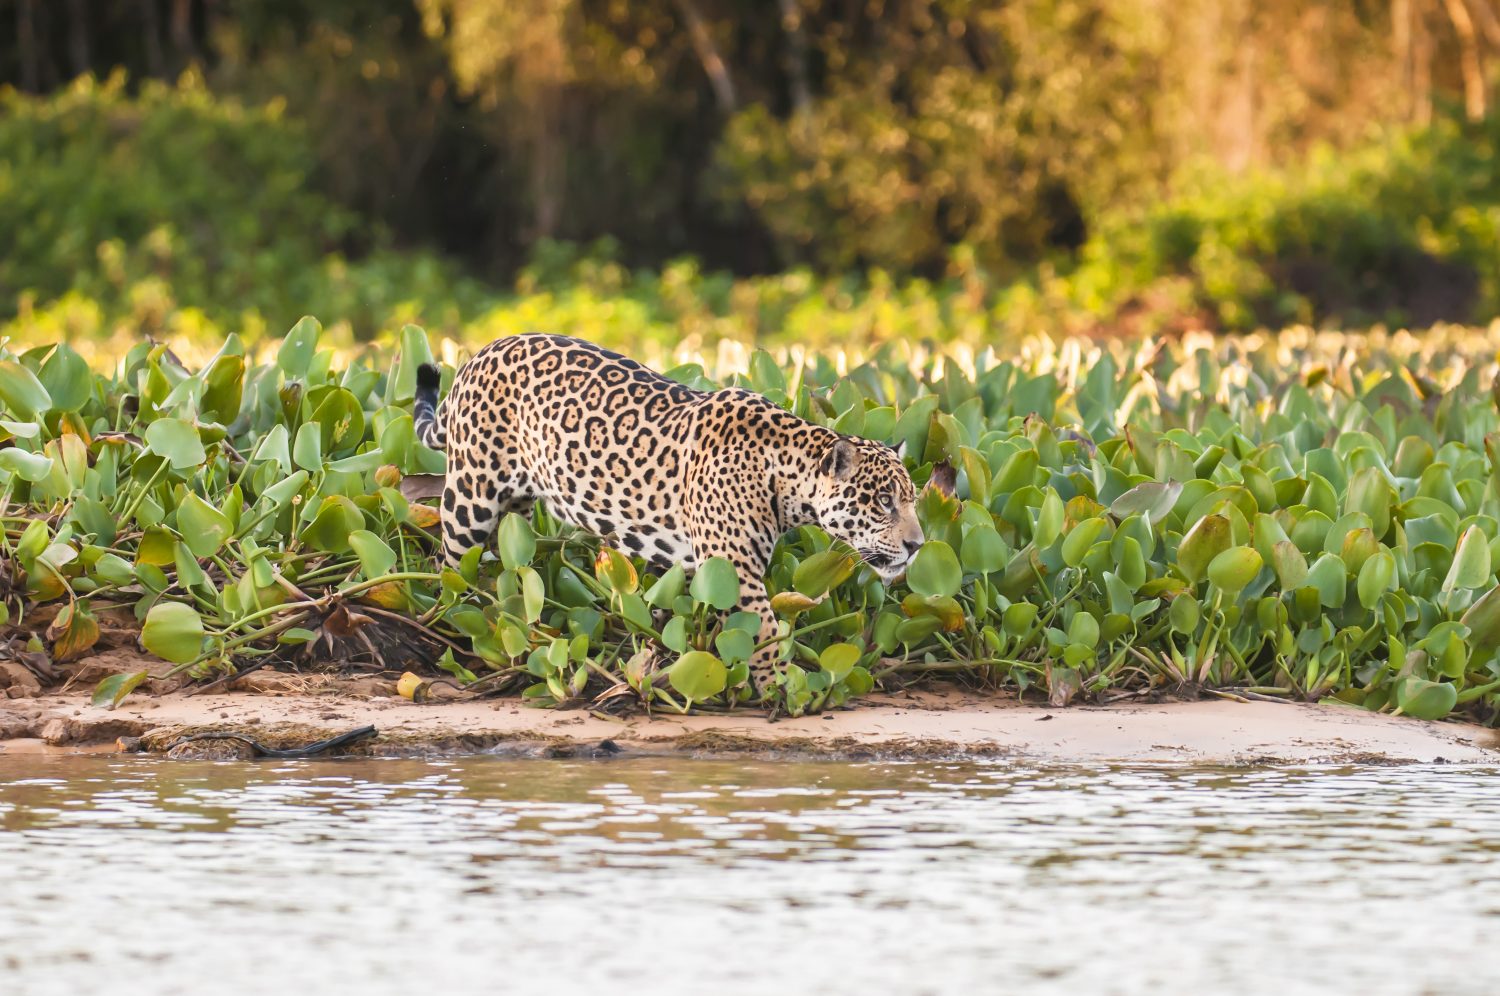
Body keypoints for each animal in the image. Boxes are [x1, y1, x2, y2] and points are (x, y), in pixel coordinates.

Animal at [413, 333, 923, 698]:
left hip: (515, 509)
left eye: (913, 499)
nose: (918, 545)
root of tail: (479, 353)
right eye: (883, 501)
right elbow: (761, 633)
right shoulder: (735, 571)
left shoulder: (692, 570)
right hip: (470, 499)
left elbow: (673, 616)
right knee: (447, 567)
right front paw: (785, 691)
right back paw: (449, 624)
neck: (785, 477)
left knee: (504, 562)